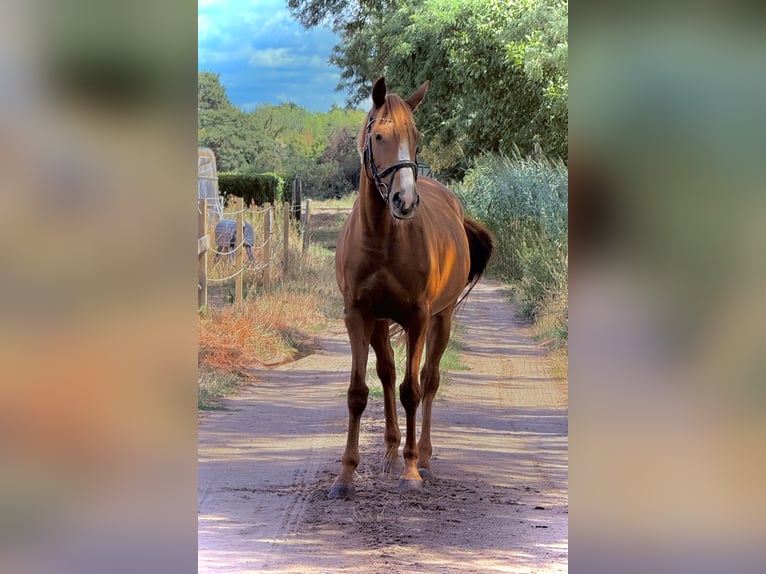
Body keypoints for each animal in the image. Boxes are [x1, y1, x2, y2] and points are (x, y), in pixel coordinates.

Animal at [329, 77, 494, 499]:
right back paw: (390, 453)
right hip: (379, 323)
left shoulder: (418, 317)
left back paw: (424, 458)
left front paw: (411, 472)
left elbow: (412, 390)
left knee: (429, 381)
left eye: (417, 139)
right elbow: (358, 392)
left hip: (442, 319)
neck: (383, 238)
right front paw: (346, 476)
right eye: (380, 136)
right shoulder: (357, 315)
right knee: (387, 373)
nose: (405, 200)